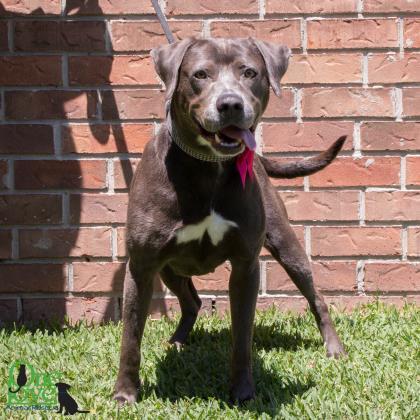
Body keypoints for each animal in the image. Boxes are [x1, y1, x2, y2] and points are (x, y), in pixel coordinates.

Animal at [113, 37, 346, 406]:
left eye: (249, 72)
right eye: (200, 74)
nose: (231, 104)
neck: (208, 165)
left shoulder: (245, 265)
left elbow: (242, 337)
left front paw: (243, 391)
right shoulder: (141, 265)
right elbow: (131, 337)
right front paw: (125, 393)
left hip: (287, 246)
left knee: (316, 298)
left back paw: (334, 348)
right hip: (167, 268)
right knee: (191, 302)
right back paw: (177, 342)